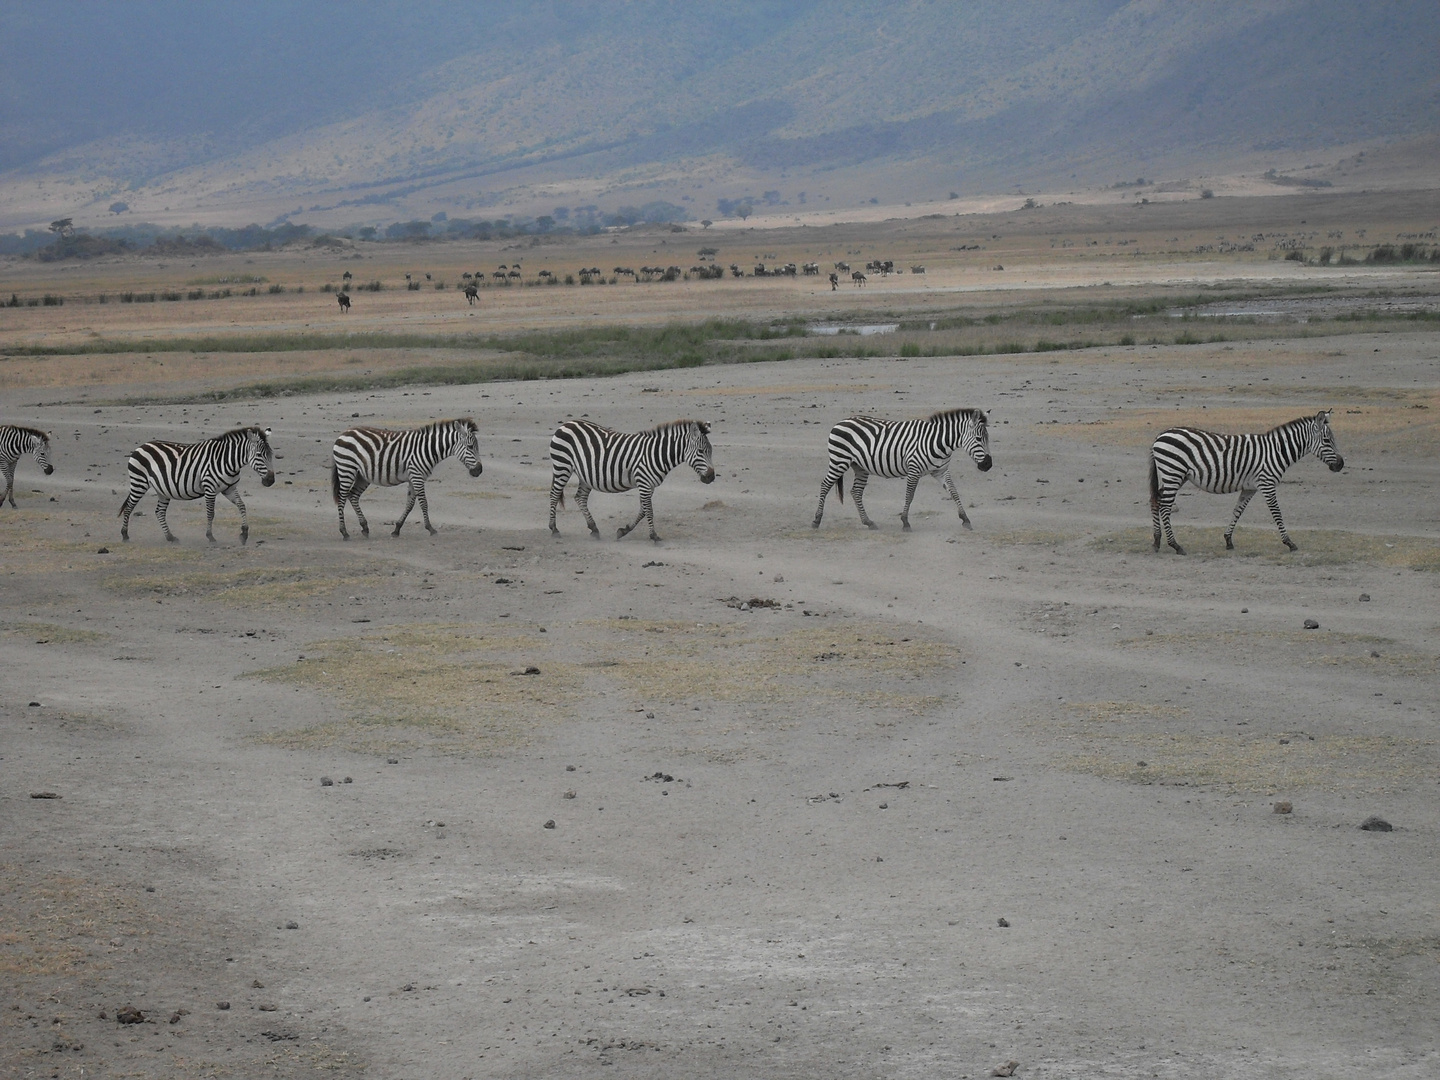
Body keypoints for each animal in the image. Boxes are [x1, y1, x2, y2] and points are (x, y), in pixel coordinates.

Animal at [118, 423, 275, 541]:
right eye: (259, 455)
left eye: (271, 455)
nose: (271, 481)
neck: (228, 462)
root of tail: (142, 446)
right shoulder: (210, 489)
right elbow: (211, 513)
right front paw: (210, 536)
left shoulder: (229, 489)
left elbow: (242, 506)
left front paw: (244, 532)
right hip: (139, 482)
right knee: (129, 507)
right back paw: (125, 534)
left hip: (162, 489)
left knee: (159, 512)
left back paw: (170, 537)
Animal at [329, 420, 483, 541]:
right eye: (470, 447)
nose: (479, 470)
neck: (428, 449)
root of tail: (344, 433)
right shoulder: (417, 475)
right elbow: (423, 503)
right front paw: (430, 528)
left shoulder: (413, 477)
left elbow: (410, 504)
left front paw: (397, 529)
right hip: (347, 468)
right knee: (342, 497)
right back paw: (344, 532)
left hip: (362, 476)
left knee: (353, 496)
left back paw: (365, 528)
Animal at [544, 420, 714, 544]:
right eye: (700, 451)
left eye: (711, 451)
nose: (711, 477)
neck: (657, 453)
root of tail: (566, 424)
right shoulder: (644, 482)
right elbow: (649, 510)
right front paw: (654, 536)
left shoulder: (649, 485)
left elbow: (643, 510)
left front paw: (623, 531)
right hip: (562, 466)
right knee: (554, 495)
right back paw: (554, 529)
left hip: (584, 476)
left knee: (580, 498)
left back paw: (594, 529)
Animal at [817, 408, 996, 532]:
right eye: (978, 439)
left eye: (988, 439)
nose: (988, 465)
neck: (939, 442)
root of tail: (841, 421)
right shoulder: (913, 469)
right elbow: (909, 495)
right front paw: (905, 522)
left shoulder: (941, 471)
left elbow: (954, 492)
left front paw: (965, 519)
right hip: (839, 460)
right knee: (825, 485)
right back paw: (816, 520)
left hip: (860, 467)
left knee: (856, 492)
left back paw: (868, 522)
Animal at [1146, 408, 1347, 552]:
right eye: (1327, 440)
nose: (1341, 464)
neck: (1276, 451)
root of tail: (1160, 435)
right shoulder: (1267, 483)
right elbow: (1277, 513)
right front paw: (1289, 543)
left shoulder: (1250, 487)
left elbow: (1238, 510)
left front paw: (1228, 540)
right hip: (1173, 472)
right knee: (1165, 506)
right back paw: (1175, 545)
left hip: (1175, 475)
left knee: (1155, 500)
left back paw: (1157, 541)